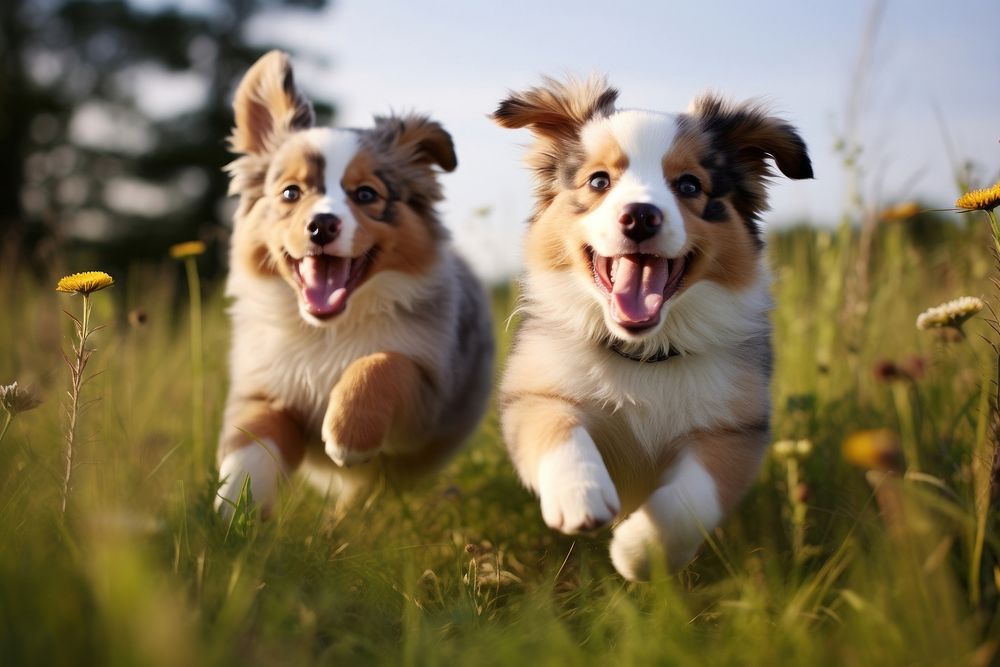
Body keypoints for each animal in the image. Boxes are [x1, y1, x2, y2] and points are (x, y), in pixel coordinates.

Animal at [213, 52, 494, 520]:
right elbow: (250, 450)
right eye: (290, 193)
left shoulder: (429, 393)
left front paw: (347, 436)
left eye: (365, 194)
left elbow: (382, 362)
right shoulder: (265, 386)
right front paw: (232, 520)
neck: (327, 333)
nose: (322, 224)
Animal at [492, 77, 812, 580]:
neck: (643, 353)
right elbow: (557, 426)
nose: (641, 215)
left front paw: (640, 553)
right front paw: (580, 495)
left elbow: (691, 498)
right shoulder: (535, 389)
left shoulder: (734, 428)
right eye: (599, 181)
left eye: (689, 185)